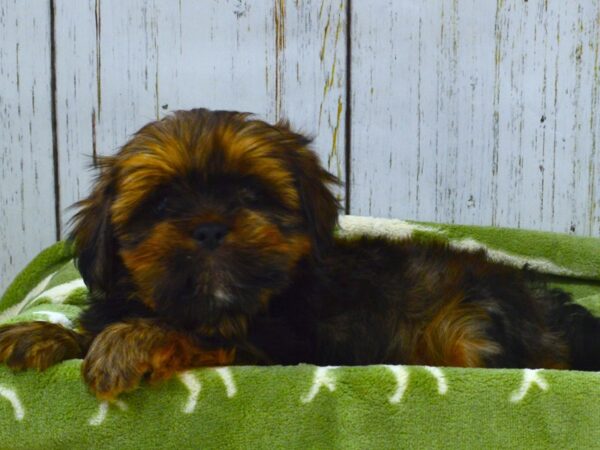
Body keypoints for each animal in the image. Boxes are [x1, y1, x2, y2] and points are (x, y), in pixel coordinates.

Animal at [1, 109, 600, 398]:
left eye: (250, 195)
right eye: (164, 202)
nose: (210, 229)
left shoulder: (271, 349)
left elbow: (195, 339)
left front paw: (131, 342)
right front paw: (41, 334)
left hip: (473, 333)